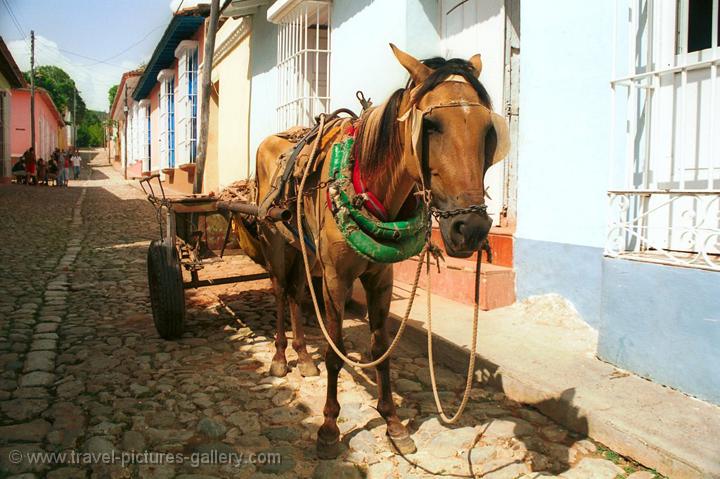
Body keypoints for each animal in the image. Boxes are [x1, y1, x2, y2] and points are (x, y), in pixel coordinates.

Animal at [253, 46, 512, 462]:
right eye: (430, 125)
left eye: (490, 131)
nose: (470, 228)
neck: (369, 187)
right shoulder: (336, 278)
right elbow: (336, 350)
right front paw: (329, 428)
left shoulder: (381, 278)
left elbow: (381, 347)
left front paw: (393, 424)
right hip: (275, 241)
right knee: (279, 291)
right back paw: (280, 359)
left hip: (304, 249)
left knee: (295, 293)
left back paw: (303, 357)